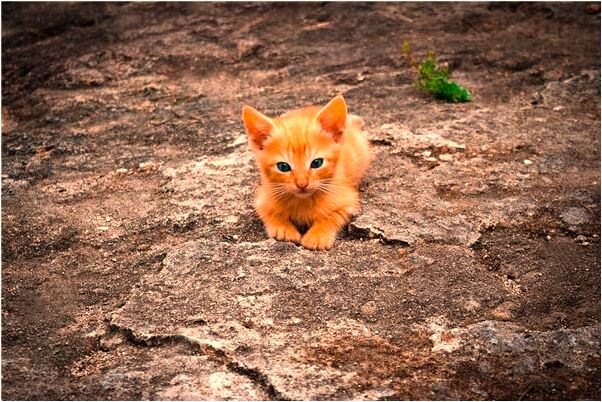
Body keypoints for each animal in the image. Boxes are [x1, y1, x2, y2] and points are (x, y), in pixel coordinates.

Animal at [241, 95, 368, 250]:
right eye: (283, 166)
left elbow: (332, 216)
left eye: (317, 163)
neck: (303, 201)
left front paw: (317, 236)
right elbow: (270, 213)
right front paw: (284, 229)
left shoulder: (347, 200)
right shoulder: (263, 199)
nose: (302, 184)